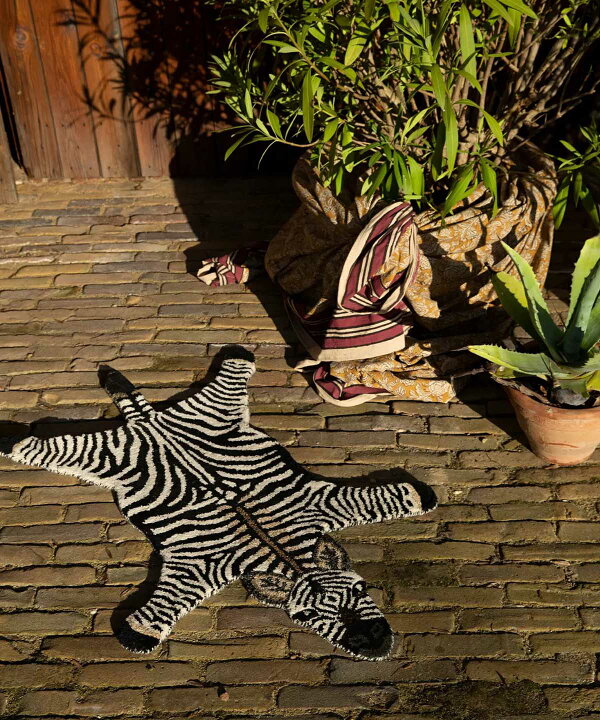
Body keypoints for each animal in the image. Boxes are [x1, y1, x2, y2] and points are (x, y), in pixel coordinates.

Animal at [0, 347, 436, 660]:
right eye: (306, 618)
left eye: (361, 591)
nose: (376, 645)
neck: (282, 550)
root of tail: (150, 422)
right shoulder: (198, 564)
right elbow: (164, 605)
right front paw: (137, 634)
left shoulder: (318, 502)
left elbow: (381, 498)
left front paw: (422, 496)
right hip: (109, 455)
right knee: (46, 447)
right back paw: (11, 439)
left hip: (209, 415)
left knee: (229, 375)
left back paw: (236, 355)